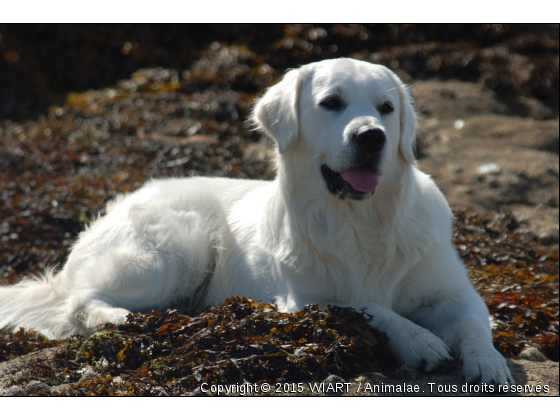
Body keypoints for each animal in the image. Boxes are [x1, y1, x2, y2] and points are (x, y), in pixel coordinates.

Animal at [0, 58, 512, 384]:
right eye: (331, 103)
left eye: (386, 108)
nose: (372, 136)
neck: (362, 221)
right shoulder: (305, 300)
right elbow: (372, 307)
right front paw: (420, 340)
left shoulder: (453, 291)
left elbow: (474, 323)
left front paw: (488, 363)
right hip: (177, 249)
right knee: (81, 302)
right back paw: (127, 318)